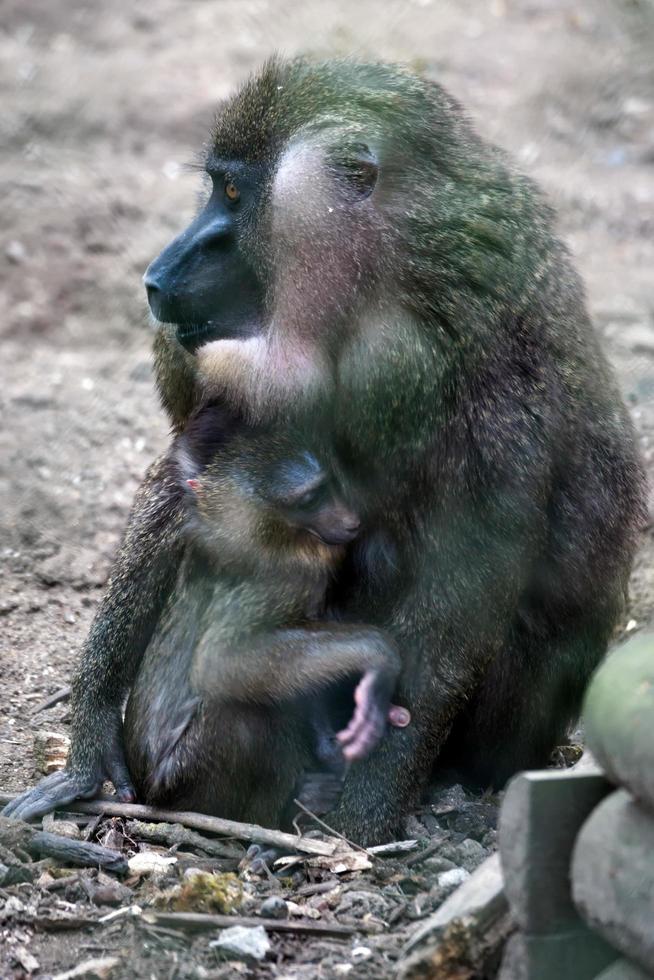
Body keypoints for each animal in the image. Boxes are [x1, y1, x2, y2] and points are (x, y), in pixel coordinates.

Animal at [5, 59, 648, 844]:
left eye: (234, 195)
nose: (160, 274)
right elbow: (184, 486)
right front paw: (90, 745)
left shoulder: (429, 380)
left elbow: (457, 598)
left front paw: (360, 826)